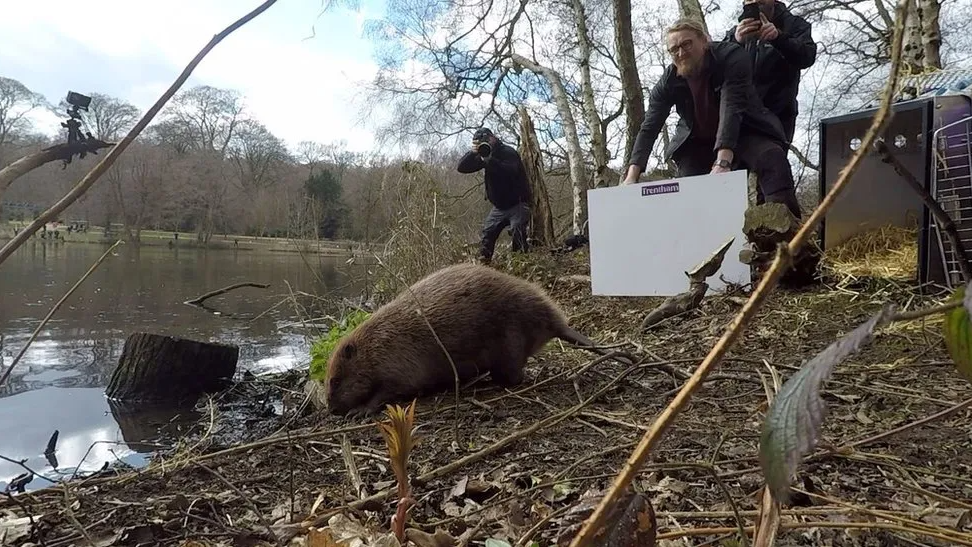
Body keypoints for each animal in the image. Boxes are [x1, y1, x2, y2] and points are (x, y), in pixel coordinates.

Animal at [324, 264, 632, 418]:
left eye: (335, 380)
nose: (331, 409)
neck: (375, 343)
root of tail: (557, 323)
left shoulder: (399, 364)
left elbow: (390, 391)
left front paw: (359, 411)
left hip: (510, 340)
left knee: (515, 376)